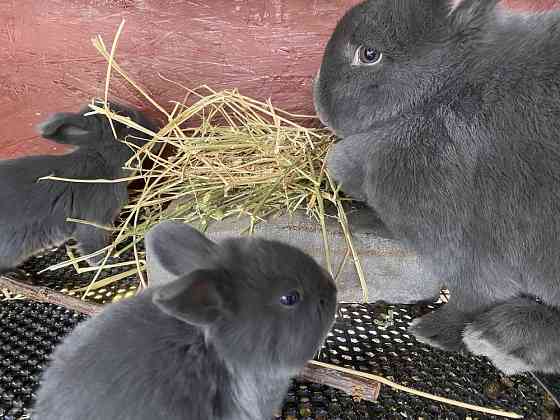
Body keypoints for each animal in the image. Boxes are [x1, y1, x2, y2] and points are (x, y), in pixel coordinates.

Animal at [0, 102, 155, 272]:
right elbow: (94, 249)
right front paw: (108, 261)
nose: (155, 126)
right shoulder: (95, 222)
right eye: (128, 122)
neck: (101, 160)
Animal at [316, 0, 560, 374]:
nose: (318, 101)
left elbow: (472, 297)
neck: (446, 92)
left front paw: (431, 332)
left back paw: (493, 338)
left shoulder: (466, 251)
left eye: (369, 53)